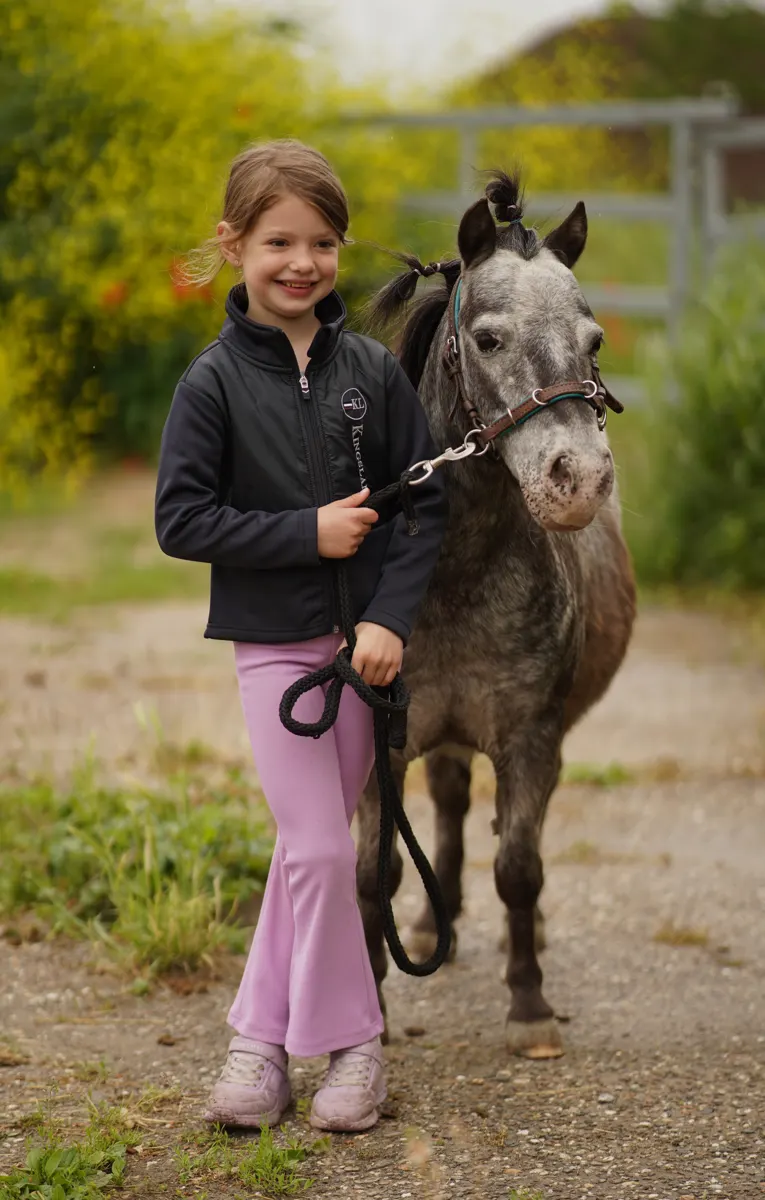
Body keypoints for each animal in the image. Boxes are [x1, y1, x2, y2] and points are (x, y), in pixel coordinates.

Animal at [355, 170, 636, 1059]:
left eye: (593, 341)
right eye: (485, 339)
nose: (577, 479)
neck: (449, 578)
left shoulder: (529, 736)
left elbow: (519, 865)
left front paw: (530, 1006)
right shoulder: (382, 744)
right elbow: (374, 874)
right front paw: (370, 1005)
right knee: (445, 804)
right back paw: (428, 926)